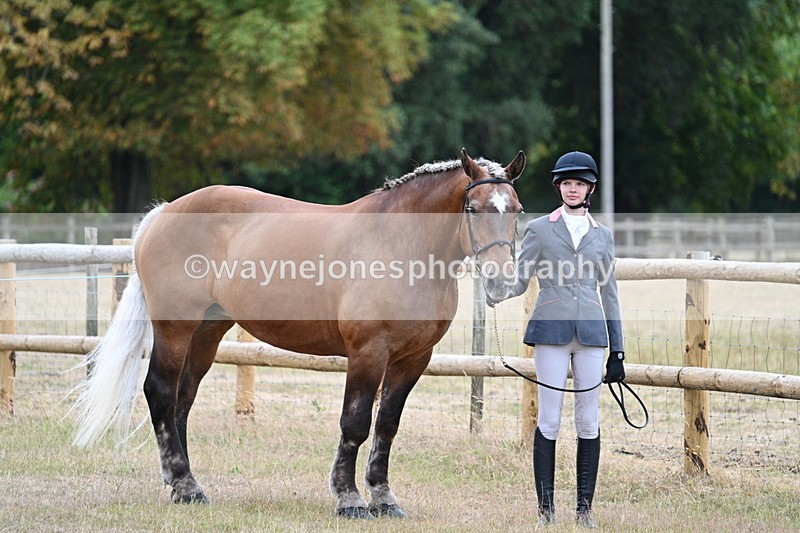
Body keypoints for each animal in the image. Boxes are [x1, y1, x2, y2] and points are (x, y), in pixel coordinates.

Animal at [71, 148, 526, 518]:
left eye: (517, 209)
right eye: (473, 208)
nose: (502, 281)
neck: (402, 244)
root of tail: (163, 213)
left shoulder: (414, 359)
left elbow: (387, 426)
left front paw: (384, 498)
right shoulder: (368, 353)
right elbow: (355, 423)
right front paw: (349, 499)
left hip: (206, 333)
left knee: (182, 400)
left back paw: (184, 484)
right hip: (175, 329)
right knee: (161, 393)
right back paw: (184, 486)